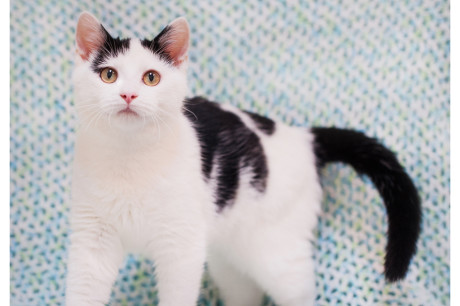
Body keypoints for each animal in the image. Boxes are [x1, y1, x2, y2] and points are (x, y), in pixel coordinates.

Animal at [66, 11, 422, 306]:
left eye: (151, 77)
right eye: (109, 75)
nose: (128, 95)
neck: (129, 159)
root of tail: (303, 137)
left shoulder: (181, 248)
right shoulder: (92, 244)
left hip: (277, 256)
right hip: (228, 257)